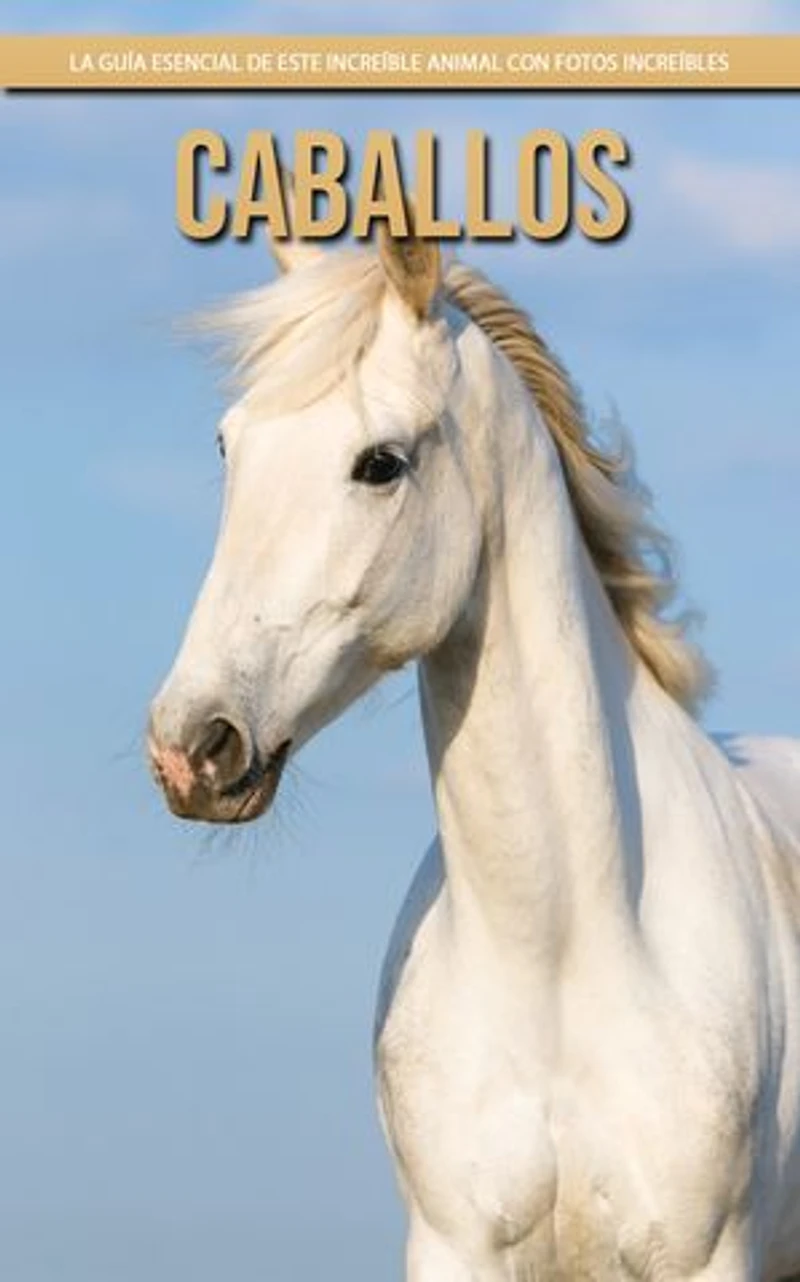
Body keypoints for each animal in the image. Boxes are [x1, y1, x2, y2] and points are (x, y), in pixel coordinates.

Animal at [148, 216, 800, 1280]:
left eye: (380, 462)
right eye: (227, 445)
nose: (191, 744)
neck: (564, 954)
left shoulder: (706, 1257)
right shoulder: (454, 1247)